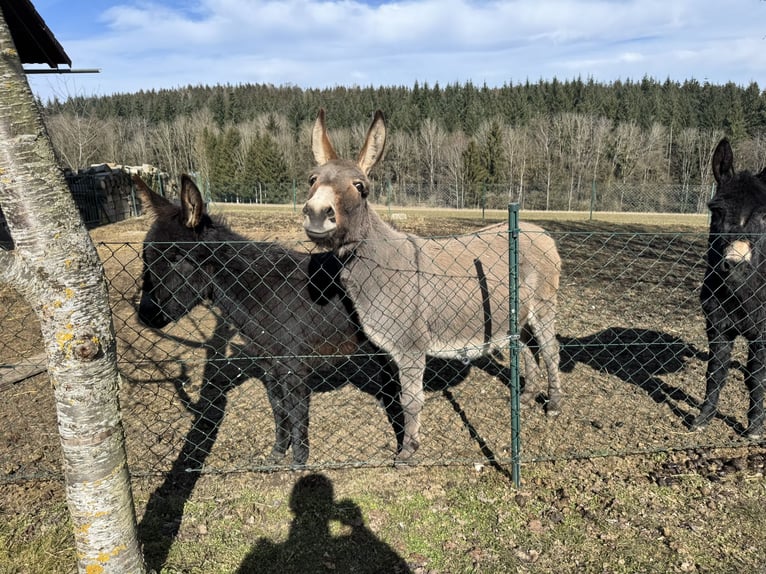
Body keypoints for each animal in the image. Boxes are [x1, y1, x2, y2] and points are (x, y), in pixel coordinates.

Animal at [135, 174, 401, 465]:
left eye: (175, 258)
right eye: (146, 257)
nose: (144, 315)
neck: (259, 292)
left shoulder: (294, 367)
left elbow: (297, 413)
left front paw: (299, 461)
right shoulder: (270, 367)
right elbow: (278, 410)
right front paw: (277, 454)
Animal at [302, 109, 562, 461]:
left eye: (360, 186)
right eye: (312, 180)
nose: (317, 214)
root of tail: (539, 230)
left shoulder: (411, 345)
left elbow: (411, 400)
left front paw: (408, 452)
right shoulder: (385, 348)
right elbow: (394, 397)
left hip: (543, 305)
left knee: (549, 350)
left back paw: (554, 404)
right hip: (510, 315)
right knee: (522, 346)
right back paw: (526, 395)